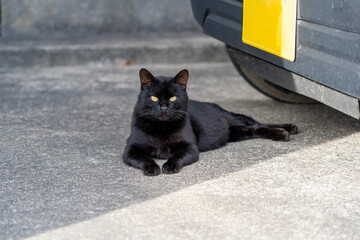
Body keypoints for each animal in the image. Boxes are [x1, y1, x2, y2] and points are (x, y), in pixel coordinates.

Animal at [124, 68, 298, 175]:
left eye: (173, 98)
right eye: (154, 98)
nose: (164, 107)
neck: (162, 128)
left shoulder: (190, 148)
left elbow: (176, 156)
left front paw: (169, 166)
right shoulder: (130, 149)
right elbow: (145, 158)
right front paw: (152, 168)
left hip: (234, 118)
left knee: (257, 123)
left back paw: (287, 129)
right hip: (236, 132)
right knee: (253, 129)